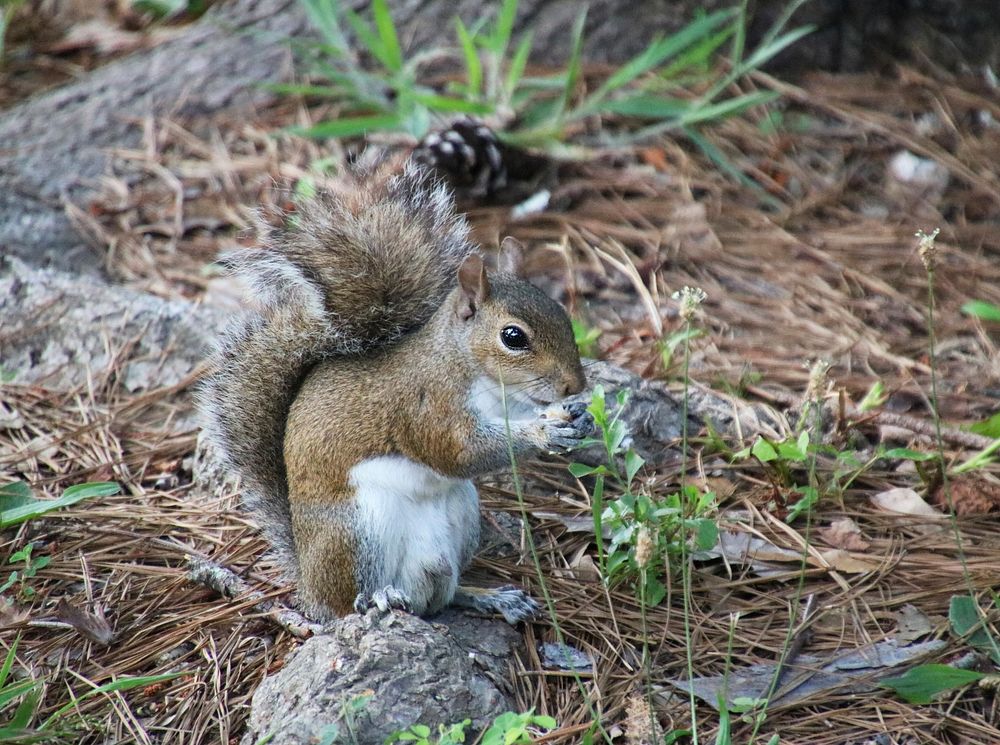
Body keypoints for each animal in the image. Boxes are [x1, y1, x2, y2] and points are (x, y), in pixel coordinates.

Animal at [201, 161, 592, 620]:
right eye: (513, 337)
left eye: (562, 313)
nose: (576, 384)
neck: (478, 376)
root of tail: (308, 586)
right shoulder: (426, 406)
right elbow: (458, 452)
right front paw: (542, 432)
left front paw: (577, 419)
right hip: (357, 531)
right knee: (348, 603)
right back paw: (377, 599)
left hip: (463, 514)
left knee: (444, 595)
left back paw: (490, 597)